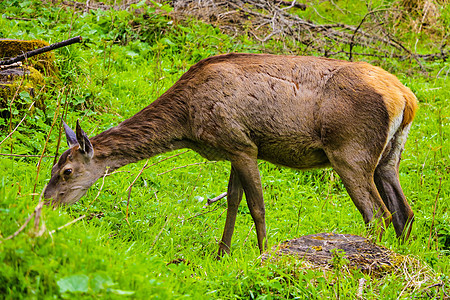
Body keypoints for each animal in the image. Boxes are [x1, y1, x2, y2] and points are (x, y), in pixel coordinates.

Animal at [44, 52, 416, 254]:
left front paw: (262, 254)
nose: (45, 204)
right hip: (388, 157)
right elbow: (233, 200)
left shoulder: (242, 144)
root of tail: (406, 98)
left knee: (378, 215)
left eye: (66, 171)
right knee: (405, 213)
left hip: (349, 153)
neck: (187, 123)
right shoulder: (235, 147)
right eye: (51, 168)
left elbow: (257, 206)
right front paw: (221, 253)